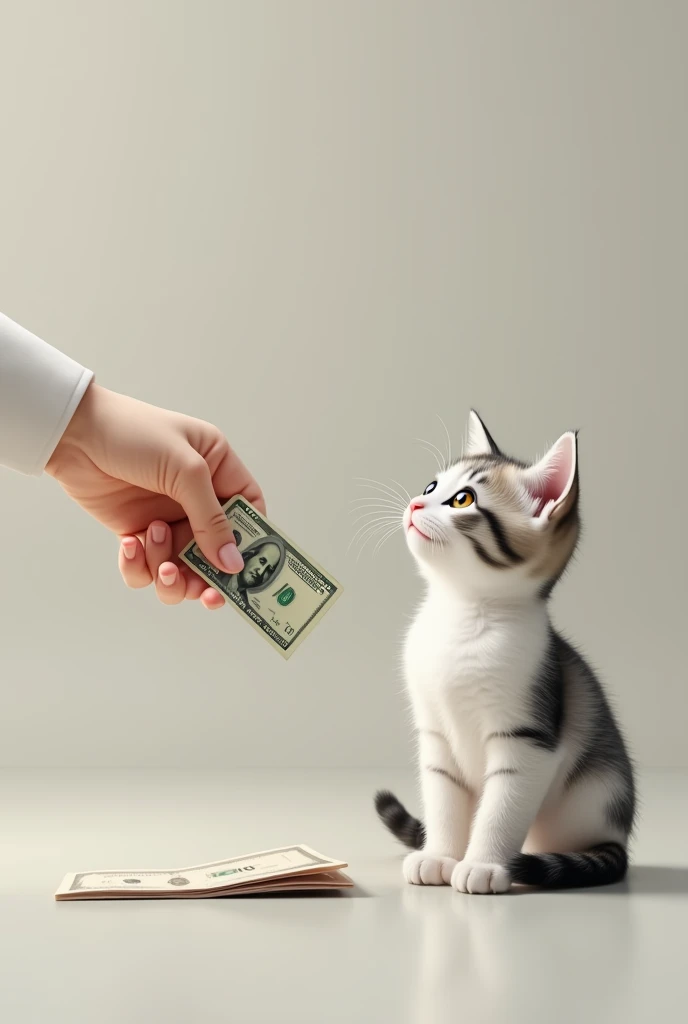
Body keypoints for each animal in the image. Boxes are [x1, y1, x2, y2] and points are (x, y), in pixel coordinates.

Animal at [376, 411, 634, 892]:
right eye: (431, 486)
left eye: (462, 499)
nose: (415, 505)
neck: (461, 613)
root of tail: (617, 836)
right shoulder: (435, 736)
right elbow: (443, 801)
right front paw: (439, 856)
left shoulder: (528, 741)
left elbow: (500, 811)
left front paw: (482, 865)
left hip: (595, 796)